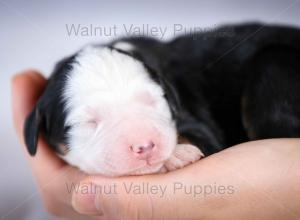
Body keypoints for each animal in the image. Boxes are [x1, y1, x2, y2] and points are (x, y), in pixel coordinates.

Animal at [23, 23, 300, 176]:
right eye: (88, 123)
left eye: (152, 101)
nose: (145, 146)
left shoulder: (195, 119)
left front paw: (177, 153)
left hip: (272, 64)